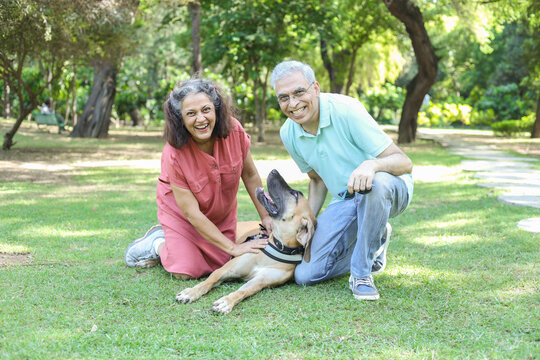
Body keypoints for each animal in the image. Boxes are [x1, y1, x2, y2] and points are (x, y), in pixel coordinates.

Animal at [176, 169, 316, 312]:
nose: (274, 170)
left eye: (295, 194)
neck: (277, 247)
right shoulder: (225, 270)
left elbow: (243, 291)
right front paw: (191, 292)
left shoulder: (260, 281)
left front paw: (227, 301)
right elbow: (209, 280)